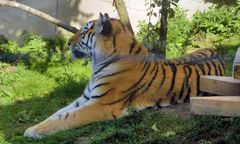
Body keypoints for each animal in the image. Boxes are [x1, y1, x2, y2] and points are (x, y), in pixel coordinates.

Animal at [23, 12, 224, 138]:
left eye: (85, 30)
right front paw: (35, 126)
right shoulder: (86, 97)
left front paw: (31, 132)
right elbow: (58, 113)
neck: (97, 63)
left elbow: (68, 117)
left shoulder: (101, 104)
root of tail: (215, 50)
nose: (68, 42)